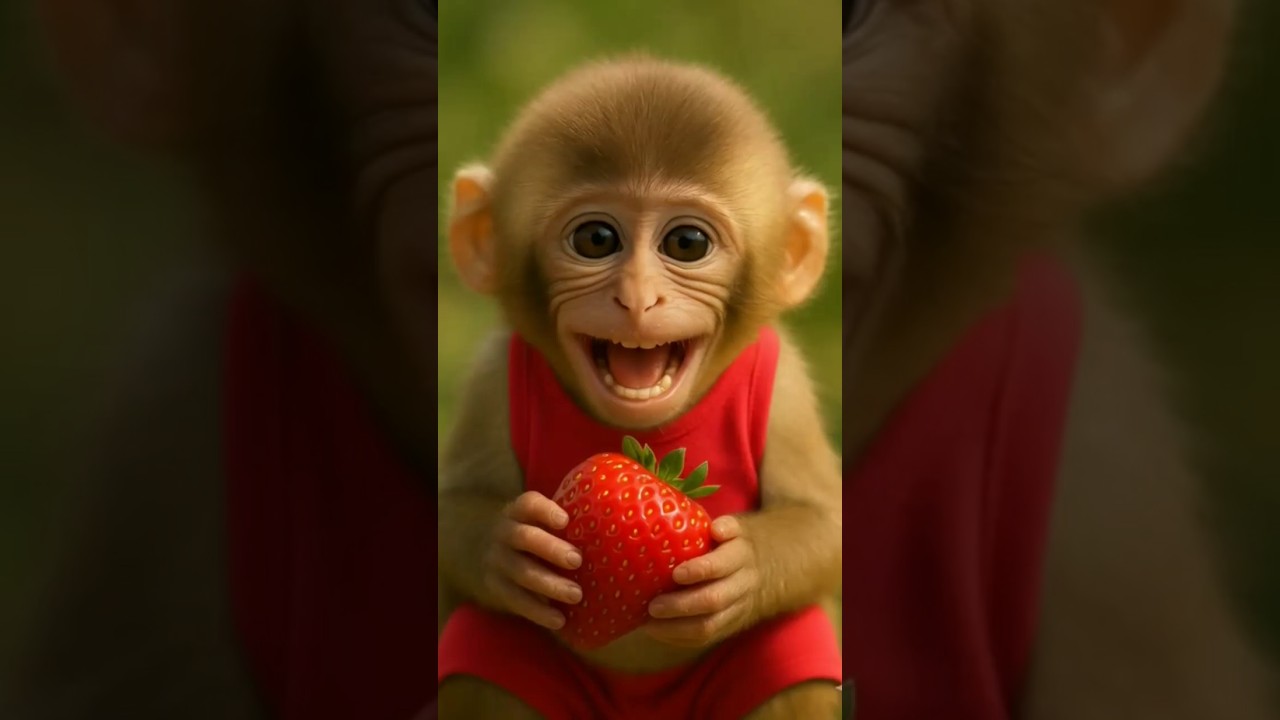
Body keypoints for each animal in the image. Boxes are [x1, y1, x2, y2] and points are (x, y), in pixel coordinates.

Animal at [435, 56, 843, 720]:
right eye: (596, 239)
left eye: (686, 244)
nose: (637, 298)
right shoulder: (492, 375)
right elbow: (451, 510)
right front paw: (513, 550)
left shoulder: (787, 392)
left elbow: (825, 522)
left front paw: (738, 571)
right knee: (488, 647)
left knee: (789, 650)